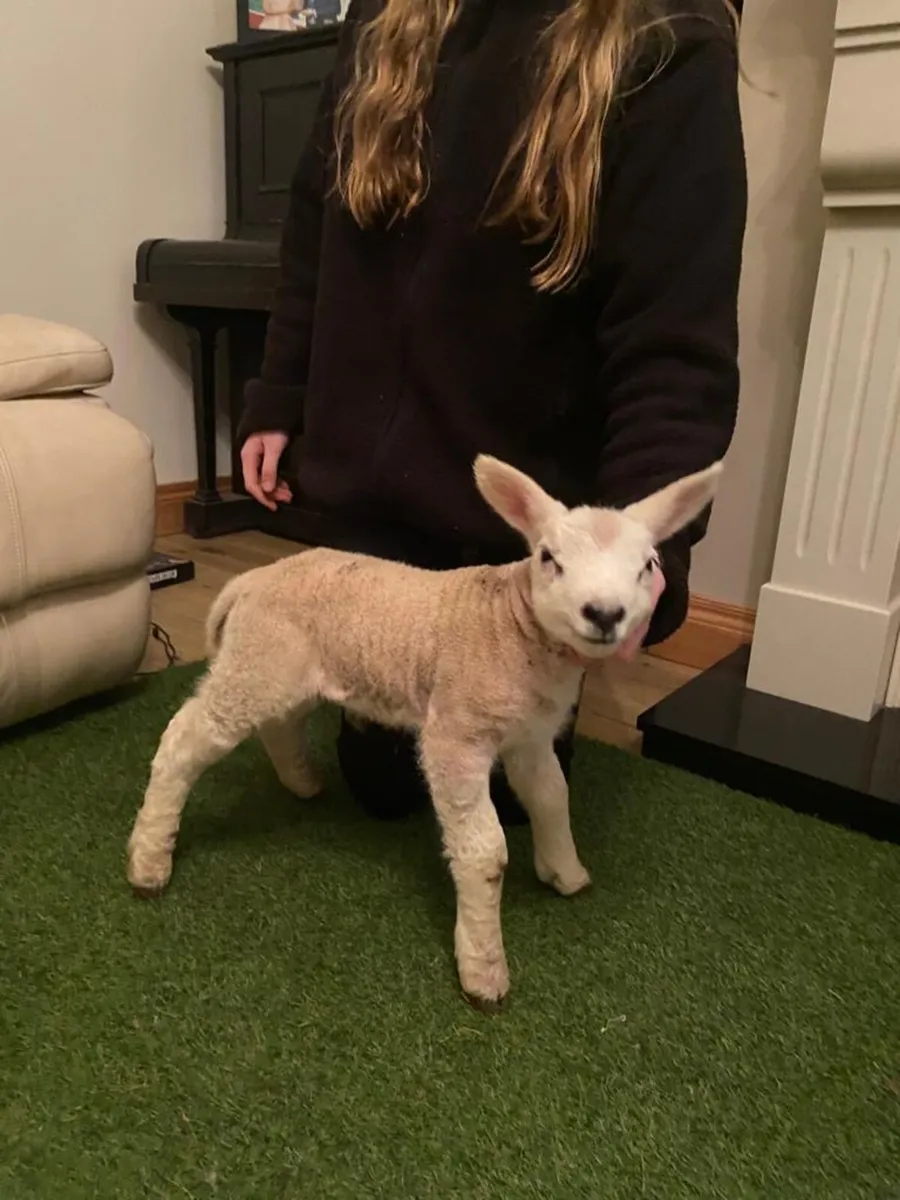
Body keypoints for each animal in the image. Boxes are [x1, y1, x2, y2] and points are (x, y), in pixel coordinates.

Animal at [127, 455, 722, 1011]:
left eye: (648, 566)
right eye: (549, 559)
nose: (604, 613)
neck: (514, 626)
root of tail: (251, 581)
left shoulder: (529, 737)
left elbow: (553, 797)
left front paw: (566, 872)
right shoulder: (456, 734)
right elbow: (485, 853)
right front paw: (483, 968)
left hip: (284, 667)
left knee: (278, 720)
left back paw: (301, 782)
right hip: (258, 659)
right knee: (184, 738)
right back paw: (149, 860)